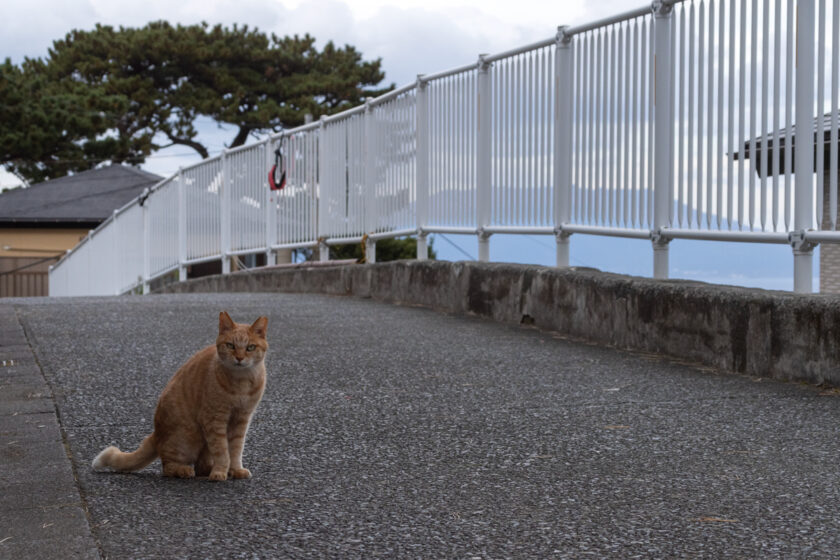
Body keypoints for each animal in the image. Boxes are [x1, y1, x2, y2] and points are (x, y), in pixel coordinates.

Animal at [93, 310, 268, 482]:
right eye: (230, 345)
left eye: (250, 347)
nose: (239, 358)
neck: (241, 382)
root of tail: (155, 434)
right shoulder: (214, 419)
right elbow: (222, 450)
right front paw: (220, 472)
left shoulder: (241, 419)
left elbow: (236, 449)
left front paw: (235, 470)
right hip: (187, 438)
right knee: (168, 466)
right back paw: (183, 470)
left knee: (200, 466)